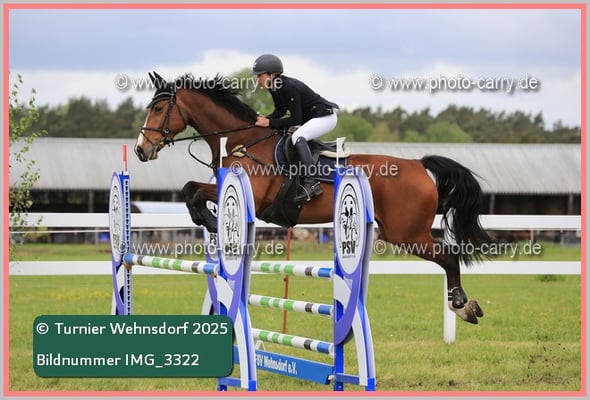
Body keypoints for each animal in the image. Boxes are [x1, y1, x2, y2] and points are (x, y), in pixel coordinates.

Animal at [134, 72, 494, 325]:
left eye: (160, 108)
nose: (140, 150)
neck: (243, 141)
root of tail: (419, 165)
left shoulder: (255, 196)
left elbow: (193, 192)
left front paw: (209, 220)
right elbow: (189, 189)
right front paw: (209, 221)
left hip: (406, 233)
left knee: (449, 257)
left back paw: (463, 306)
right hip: (402, 232)